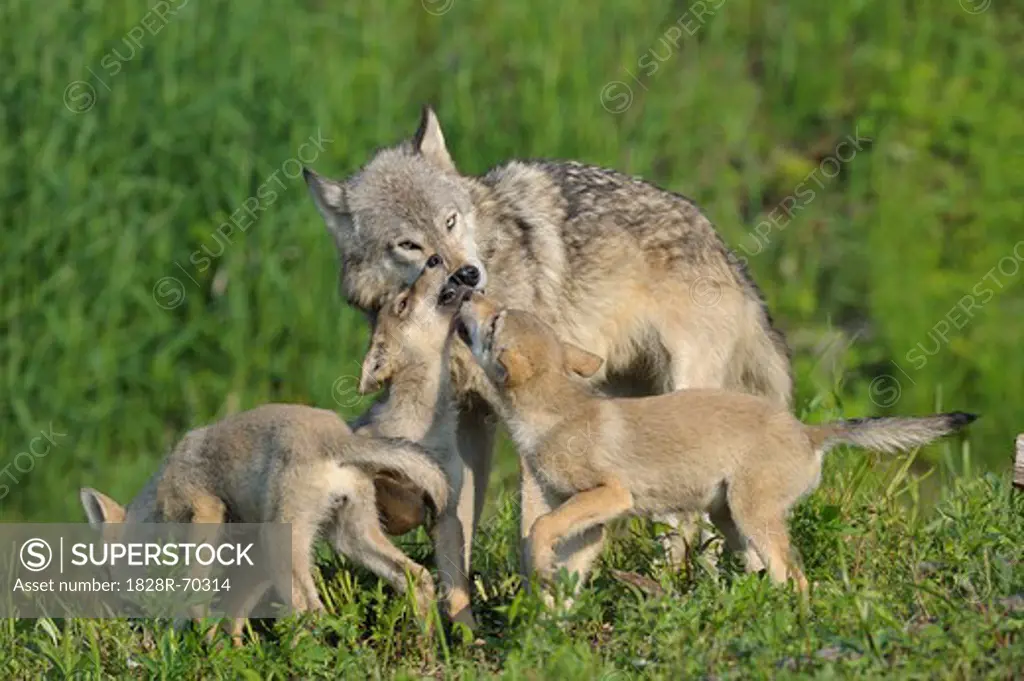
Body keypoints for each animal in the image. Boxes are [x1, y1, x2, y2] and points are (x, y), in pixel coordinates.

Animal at [79, 403, 448, 643]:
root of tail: (338, 437)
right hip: (348, 540)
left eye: (108, 568)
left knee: (309, 611)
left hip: (283, 548)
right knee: (417, 577)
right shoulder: (252, 555)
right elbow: (232, 615)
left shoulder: (206, 510)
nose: (122, 613)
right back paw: (426, 648)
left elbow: (195, 594)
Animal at [301, 103, 790, 593]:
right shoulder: (471, 422)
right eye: (410, 245)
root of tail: (722, 246)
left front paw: (533, 597)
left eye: (450, 221)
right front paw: (462, 602)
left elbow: (530, 524)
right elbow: (459, 524)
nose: (466, 276)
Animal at [454, 294, 974, 593]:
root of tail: (808, 432)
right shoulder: (589, 520)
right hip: (732, 522)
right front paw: (549, 623)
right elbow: (560, 564)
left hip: (751, 516)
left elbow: (540, 529)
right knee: (767, 574)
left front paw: (541, 575)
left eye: (495, 322)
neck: (555, 415)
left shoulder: (610, 495)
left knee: (796, 580)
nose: (467, 289)